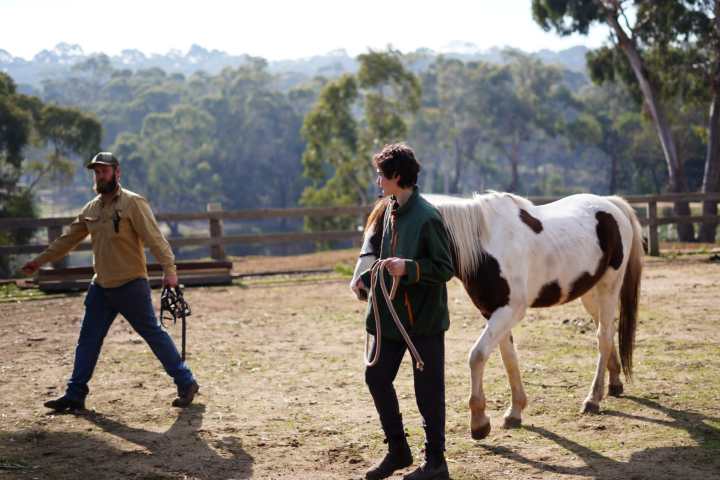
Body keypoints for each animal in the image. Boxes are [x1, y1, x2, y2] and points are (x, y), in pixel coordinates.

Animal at [348, 191, 640, 438]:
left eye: (380, 235)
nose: (359, 286)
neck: (485, 246)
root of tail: (611, 205)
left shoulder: (510, 311)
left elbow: (477, 356)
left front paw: (479, 421)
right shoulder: (494, 313)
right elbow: (508, 358)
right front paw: (515, 412)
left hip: (609, 287)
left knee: (603, 337)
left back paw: (593, 398)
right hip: (589, 294)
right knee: (606, 331)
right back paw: (614, 382)